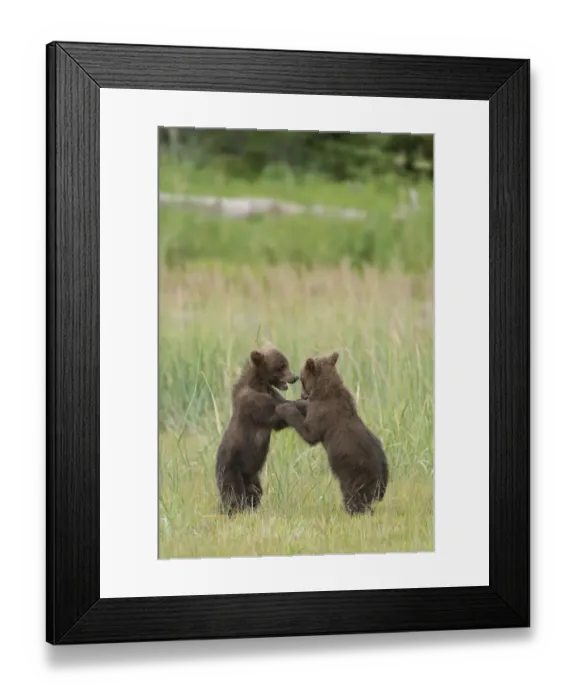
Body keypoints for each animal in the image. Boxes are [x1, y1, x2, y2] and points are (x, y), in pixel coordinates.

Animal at [215, 342, 308, 515]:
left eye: (286, 363)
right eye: (281, 366)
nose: (294, 377)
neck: (259, 384)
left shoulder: (272, 392)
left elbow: (280, 412)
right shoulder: (251, 402)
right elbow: (273, 413)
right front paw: (301, 403)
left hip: (252, 474)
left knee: (255, 492)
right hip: (231, 467)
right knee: (233, 493)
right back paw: (233, 510)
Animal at [275, 351, 388, 515]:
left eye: (302, 378)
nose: (302, 394)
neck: (324, 390)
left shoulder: (323, 414)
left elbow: (310, 433)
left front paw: (283, 407)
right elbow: (306, 407)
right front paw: (296, 402)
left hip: (356, 475)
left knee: (355, 498)